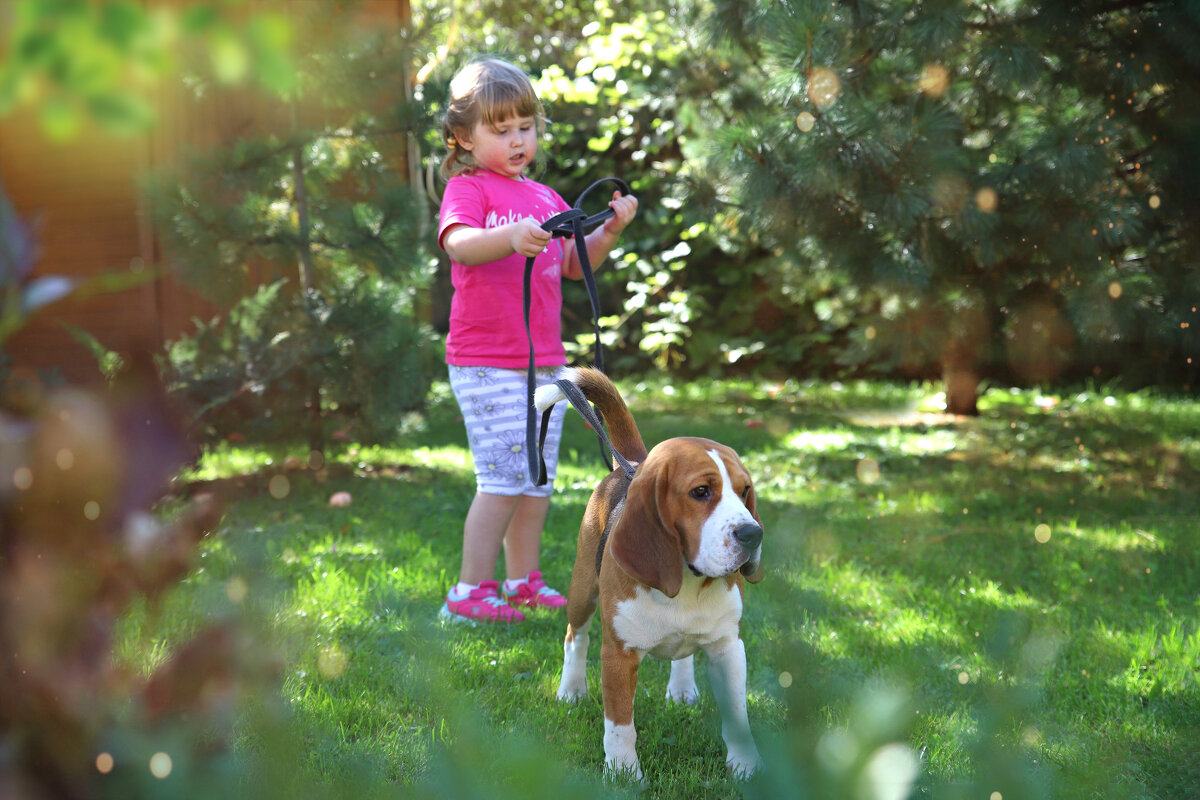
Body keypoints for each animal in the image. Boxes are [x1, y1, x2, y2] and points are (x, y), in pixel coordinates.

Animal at [537, 371, 763, 782]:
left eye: (744, 491)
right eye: (701, 491)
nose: (753, 534)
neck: (687, 583)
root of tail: (632, 464)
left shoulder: (728, 648)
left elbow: (738, 716)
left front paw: (747, 766)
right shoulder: (618, 655)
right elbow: (620, 725)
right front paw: (624, 773)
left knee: (684, 653)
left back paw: (682, 689)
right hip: (582, 590)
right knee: (575, 637)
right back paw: (571, 690)